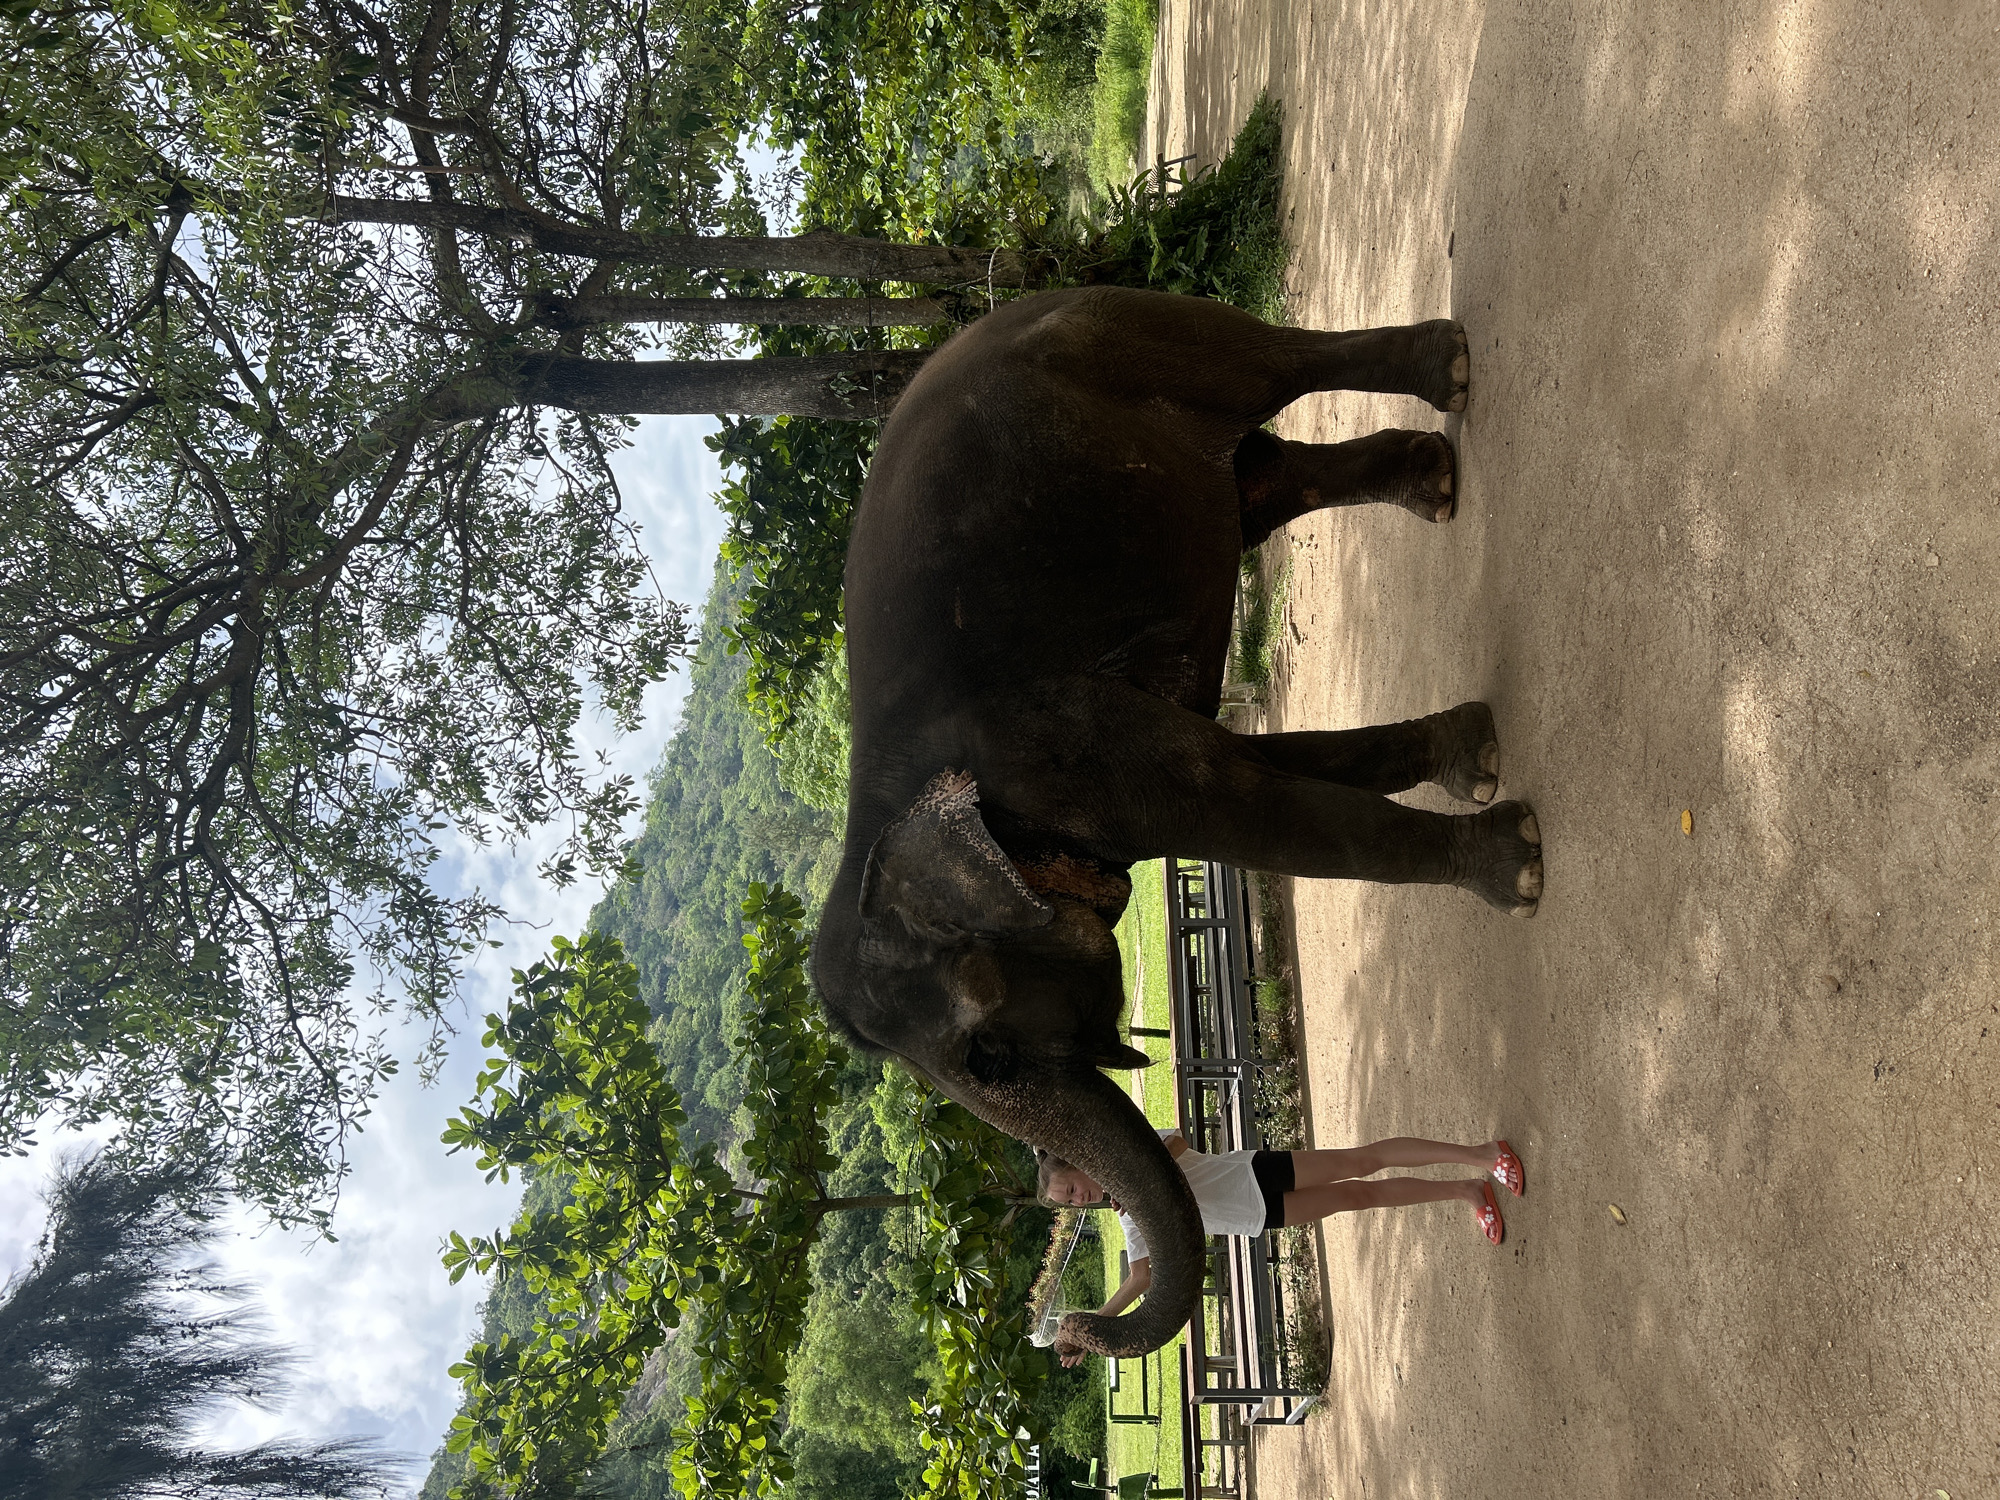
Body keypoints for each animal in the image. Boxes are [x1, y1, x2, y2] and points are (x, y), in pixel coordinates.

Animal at [808, 286, 1543, 1359]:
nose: (1067, 1333)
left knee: (1265, 371)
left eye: (989, 1058)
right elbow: (1274, 763)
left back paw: (1445, 370)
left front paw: (1517, 869)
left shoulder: (1066, 741)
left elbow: (1246, 805)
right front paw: (1478, 762)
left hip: (1117, 329)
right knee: (1262, 481)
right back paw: (1434, 479)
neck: (875, 833)